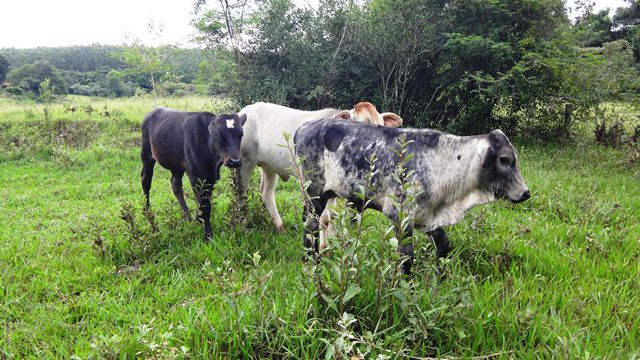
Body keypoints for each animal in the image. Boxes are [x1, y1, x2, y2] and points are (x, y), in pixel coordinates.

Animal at [296, 118, 528, 272]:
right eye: (505, 159)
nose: (525, 193)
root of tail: (304, 127)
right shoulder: (400, 217)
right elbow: (407, 258)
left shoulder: (428, 218)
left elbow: (444, 247)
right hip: (314, 193)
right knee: (311, 224)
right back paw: (310, 262)